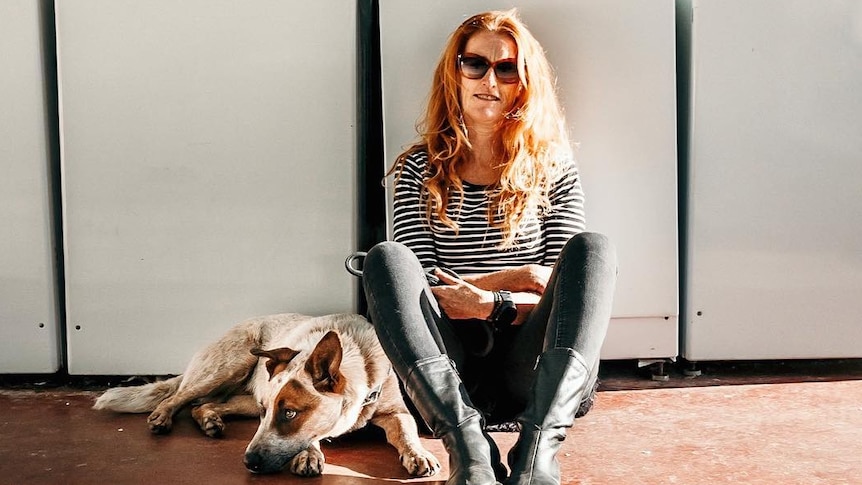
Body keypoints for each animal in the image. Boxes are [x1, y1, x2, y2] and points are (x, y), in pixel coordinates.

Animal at [93, 310, 442, 476]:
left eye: (289, 412)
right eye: (270, 412)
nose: (248, 462)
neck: (354, 352)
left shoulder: (396, 411)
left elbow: (407, 433)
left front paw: (419, 454)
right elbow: (310, 436)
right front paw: (309, 454)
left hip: (243, 395)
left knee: (205, 405)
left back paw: (210, 421)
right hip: (231, 366)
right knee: (179, 396)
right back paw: (162, 417)